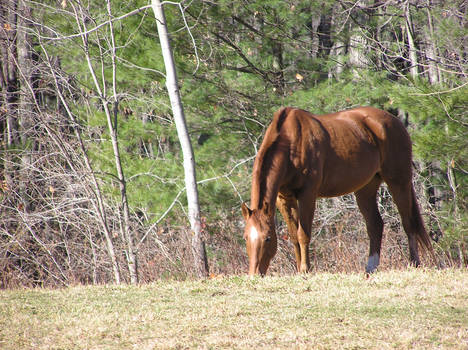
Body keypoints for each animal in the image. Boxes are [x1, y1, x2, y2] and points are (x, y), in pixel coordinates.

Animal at [243, 106, 434, 276]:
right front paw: (299, 269)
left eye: (268, 238)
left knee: (408, 222)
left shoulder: (307, 195)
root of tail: (395, 121)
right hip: (365, 189)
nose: (254, 274)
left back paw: (414, 263)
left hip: (399, 182)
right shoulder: (284, 198)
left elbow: (303, 234)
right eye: (245, 237)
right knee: (375, 225)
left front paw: (306, 270)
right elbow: (294, 236)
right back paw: (370, 268)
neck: (292, 143)